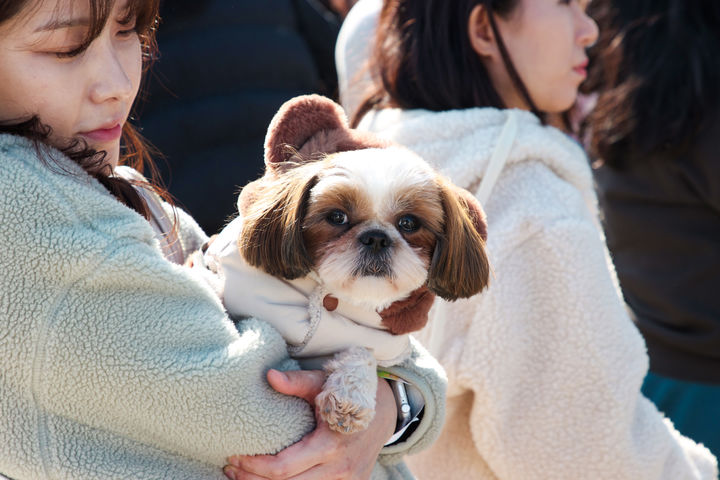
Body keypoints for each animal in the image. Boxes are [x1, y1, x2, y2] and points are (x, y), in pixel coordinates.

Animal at [198, 94, 490, 436]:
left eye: (409, 223)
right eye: (337, 217)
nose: (376, 238)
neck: (334, 297)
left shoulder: (376, 340)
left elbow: (360, 354)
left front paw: (349, 400)